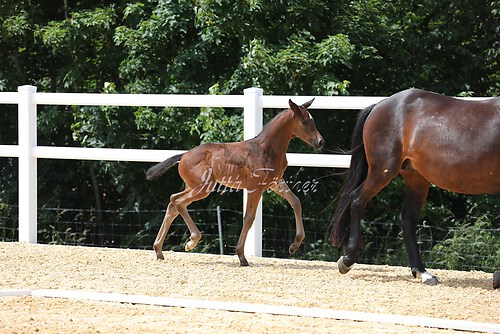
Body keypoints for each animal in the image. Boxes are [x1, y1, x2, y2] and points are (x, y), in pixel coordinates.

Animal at [146, 99, 324, 266]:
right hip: (203, 188)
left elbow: (296, 202)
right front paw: (241, 256)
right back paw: (191, 241)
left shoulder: (275, 182)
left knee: (173, 203)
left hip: (193, 186)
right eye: (304, 122)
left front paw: (295, 245)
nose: (321, 142)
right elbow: (249, 218)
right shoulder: (254, 188)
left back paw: (158, 250)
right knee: (178, 201)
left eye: (313, 120)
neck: (266, 149)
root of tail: (183, 155)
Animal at [330, 88, 498, 284]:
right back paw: (347, 260)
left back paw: (422, 272)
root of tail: (380, 105)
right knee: (357, 200)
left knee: (407, 219)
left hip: (415, 178)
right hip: (383, 170)